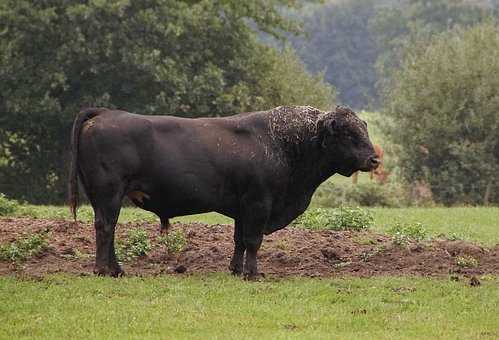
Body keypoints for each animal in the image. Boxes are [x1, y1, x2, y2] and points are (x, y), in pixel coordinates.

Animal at [67, 105, 378, 278]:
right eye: (348, 134)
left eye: (363, 129)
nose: (374, 159)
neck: (283, 143)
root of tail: (106, 113)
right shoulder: (258, 204)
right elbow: (253, 241)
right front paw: (253, 273)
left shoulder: (243, 209)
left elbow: (239, 240)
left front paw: (236, 269)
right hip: (109, 195)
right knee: (106, 227)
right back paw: (103, 270)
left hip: (103, 198)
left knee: (108, 229)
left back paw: (116, 270)